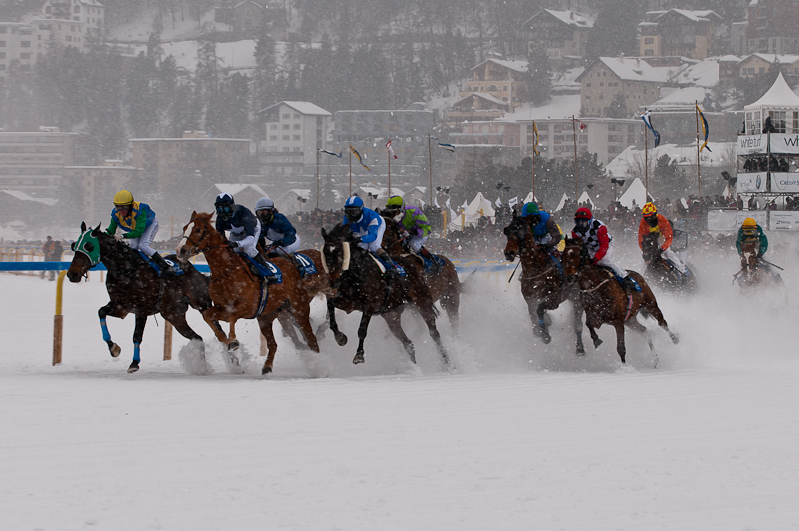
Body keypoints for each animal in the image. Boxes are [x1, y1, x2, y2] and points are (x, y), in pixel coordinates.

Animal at [66, 221, 216, 374]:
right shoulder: (120, 306)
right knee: (197, 337)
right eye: (74, 246)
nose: (72, 274)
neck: (126, 270)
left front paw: (134, 363)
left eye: (88, 246)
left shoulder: (141, 309)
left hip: (201, 304)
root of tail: (196, 271)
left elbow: (136, 335)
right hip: (173, 315)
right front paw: (113, 348)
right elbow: (101, 312)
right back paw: (202, 367)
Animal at [177, 210, 320, 376]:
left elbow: (232, 316)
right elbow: (208, 316)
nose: (180, 250)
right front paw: (225, 340)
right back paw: (267, 367)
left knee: (312, 340)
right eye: (184, 228)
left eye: (198, 230)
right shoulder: (221, 307)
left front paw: (232, 341)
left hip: (298, 309)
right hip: (267, 316)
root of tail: (292, 265)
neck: (225, 272)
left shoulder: (247, 307)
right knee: (273, 344)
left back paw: (320, 366)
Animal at [322, 222, 454, 368]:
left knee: (434, 333)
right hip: (391, 316)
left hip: (423, 301)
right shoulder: (347, 303)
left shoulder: (369, 306)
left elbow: (362, 330)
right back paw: (413, 366)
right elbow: (330, 308)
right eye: (325, 253)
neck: (355, 275)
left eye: (340, 252)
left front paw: (359, 355)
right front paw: (340, 337)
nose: (332, 281)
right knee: (408, 343)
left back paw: (447, 363)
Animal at [504, 214, 584, 356]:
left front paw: (545, 334)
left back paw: (580, 347)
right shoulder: (530, 299)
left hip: (576, 298)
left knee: (578, 323)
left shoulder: (554, 299)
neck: (535, 271)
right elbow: (534, 315)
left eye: (521, 230)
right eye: (507, 231)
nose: (509, 253)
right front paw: (542, 327)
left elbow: (540, 309)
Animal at [560, 238, 680, 366]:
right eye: (563, 255)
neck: (596, 287)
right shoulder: (597, 316)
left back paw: (675, 338)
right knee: (644, 331)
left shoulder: (618, 321)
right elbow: (589, 324)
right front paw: (596, 340)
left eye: (578, 254)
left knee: (662, 323)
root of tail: (638, 275)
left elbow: (621, 348)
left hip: (650, 304)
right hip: (630, 320)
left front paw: (624, 366)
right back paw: (656, 359)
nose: (568, 277)